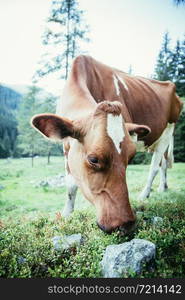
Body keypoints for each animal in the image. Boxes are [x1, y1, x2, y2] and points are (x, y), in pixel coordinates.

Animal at [31, 55, 183, 234]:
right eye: (93, 159)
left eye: (130, 157)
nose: (126, 223)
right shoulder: (66, 147)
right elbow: (70, 185)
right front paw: (67, 213)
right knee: (164, 164)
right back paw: (163, 188)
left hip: (167, 132)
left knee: (154, 166)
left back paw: (145, 194)